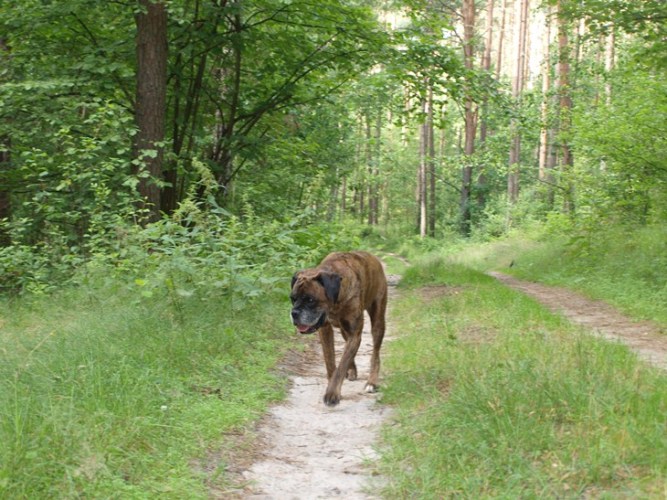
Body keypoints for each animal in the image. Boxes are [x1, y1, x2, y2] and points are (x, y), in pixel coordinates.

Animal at [290, 251, 387, 406]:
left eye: (310, 300)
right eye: (293, 299)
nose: (294, 313)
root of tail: (372, 257)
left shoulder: (354, 334)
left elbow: (341, 365)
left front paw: (332, 394)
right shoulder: (325, 330)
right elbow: (330, 361)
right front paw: (333, 384)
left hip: (377, 321)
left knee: (375, 353)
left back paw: (371, 382)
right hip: (343, 331)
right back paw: (352, 370)